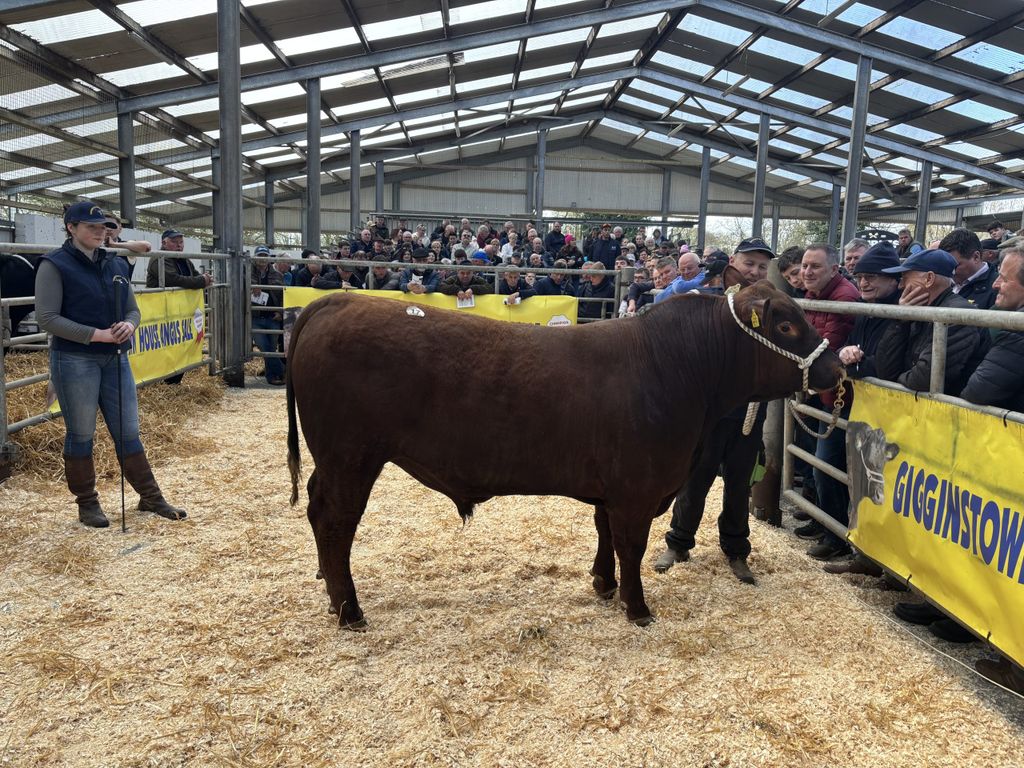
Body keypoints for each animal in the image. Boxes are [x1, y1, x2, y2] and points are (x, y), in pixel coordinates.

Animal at [286, 272, 845, 629]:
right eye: (787, 326)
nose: (838, 371)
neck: (677, 366)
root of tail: (337, 300)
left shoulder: (613, 488)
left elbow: (604, 535)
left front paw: (603, 585)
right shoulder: (638, 489)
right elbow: (631, 546)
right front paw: (638, 609)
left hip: (333, 460)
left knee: (316, 509)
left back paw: (327, 586)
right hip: (351, 457)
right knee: (336, 520)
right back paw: (348, 610)